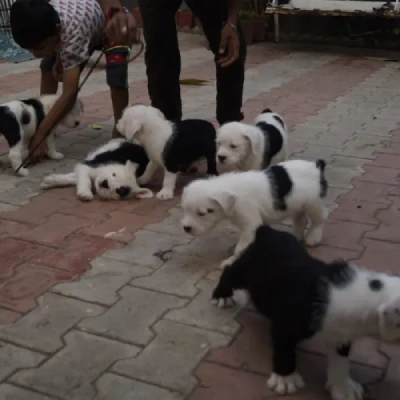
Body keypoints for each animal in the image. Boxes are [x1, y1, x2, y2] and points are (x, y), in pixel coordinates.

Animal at [181, 158, 328, 268]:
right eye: (185, 210)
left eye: (202, 213)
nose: (186, 228)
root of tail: (316, 166)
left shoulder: (250, 225)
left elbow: (240, 248)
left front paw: (231, 261)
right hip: (296, 205)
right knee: (301, 220)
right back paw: (297, 237)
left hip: (313, 203)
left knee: (319, 219)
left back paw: (313, 238)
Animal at [211, 225, 400, 400]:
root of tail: (268, 231)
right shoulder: (286, 325)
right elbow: (284, 351)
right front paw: (285, 380)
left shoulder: (342, 334)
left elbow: (340, 359)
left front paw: (343, 386)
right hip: (245, 269)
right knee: (229, 271)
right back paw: (222, 296)